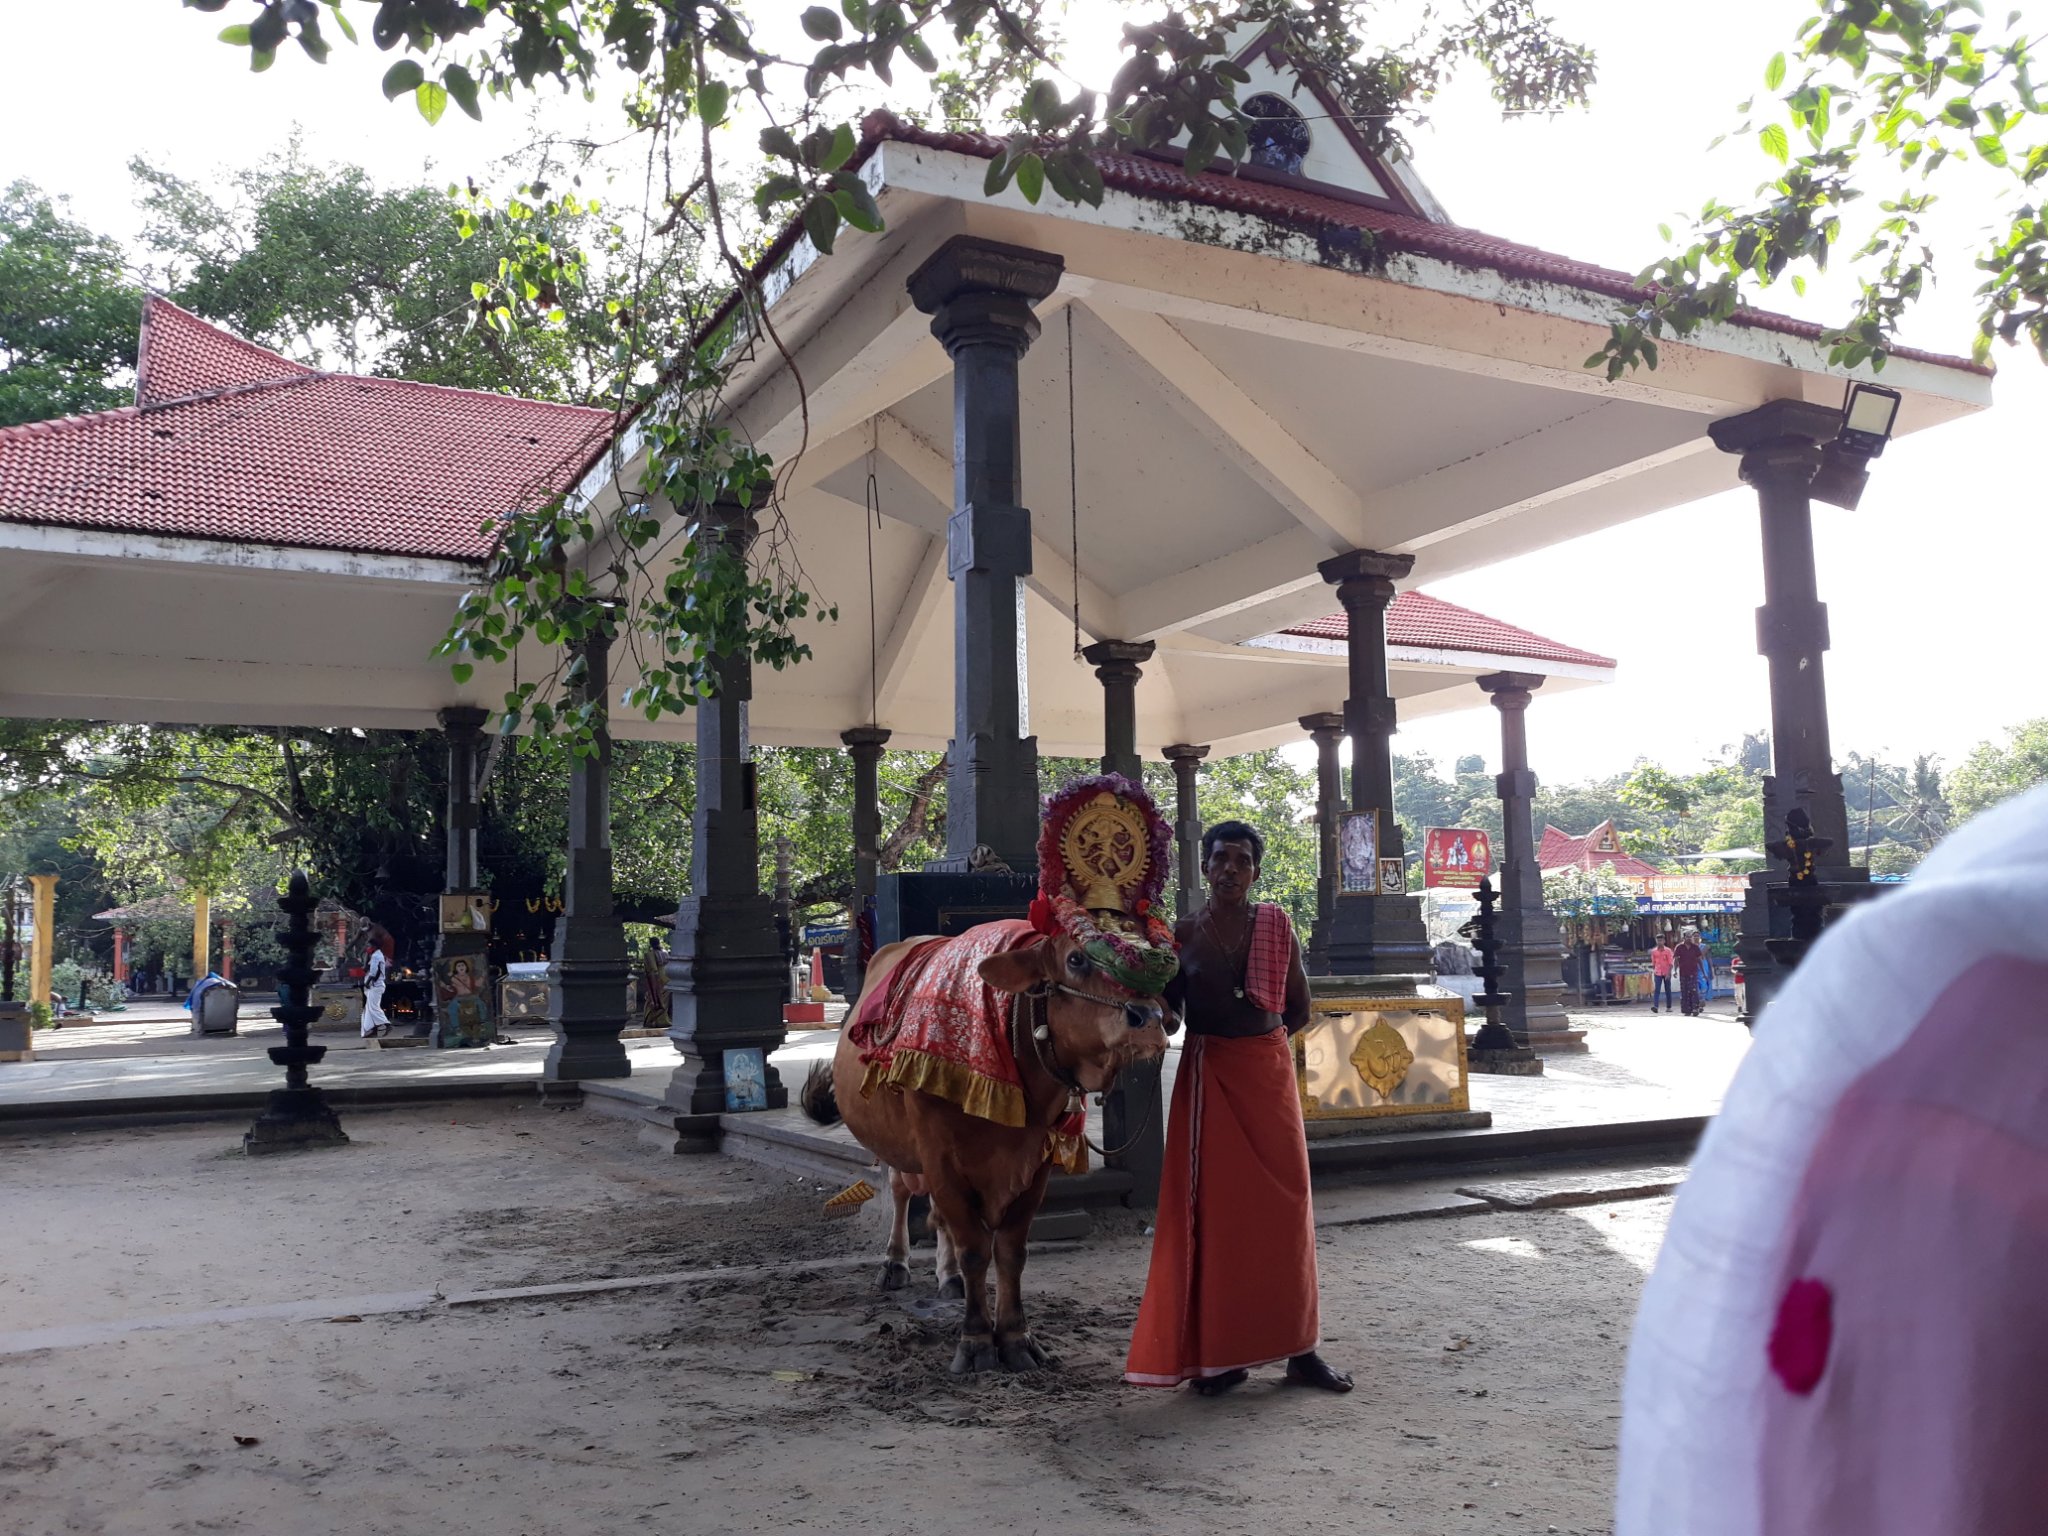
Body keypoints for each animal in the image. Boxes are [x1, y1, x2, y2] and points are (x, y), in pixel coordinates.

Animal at [806, 774, 1179, 1376]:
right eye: (1076, 959)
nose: (1147, 1019)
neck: (1012, 1036)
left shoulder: (1037, 1161)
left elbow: (1009, 1249)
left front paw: (1017, 1336)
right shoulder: (940, 1156)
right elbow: (974, 1243)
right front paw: (977, 1340)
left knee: (938, 1220)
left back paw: (948, 1278)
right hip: (895, 1143)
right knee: (902, 1193)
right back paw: (896, 1263)